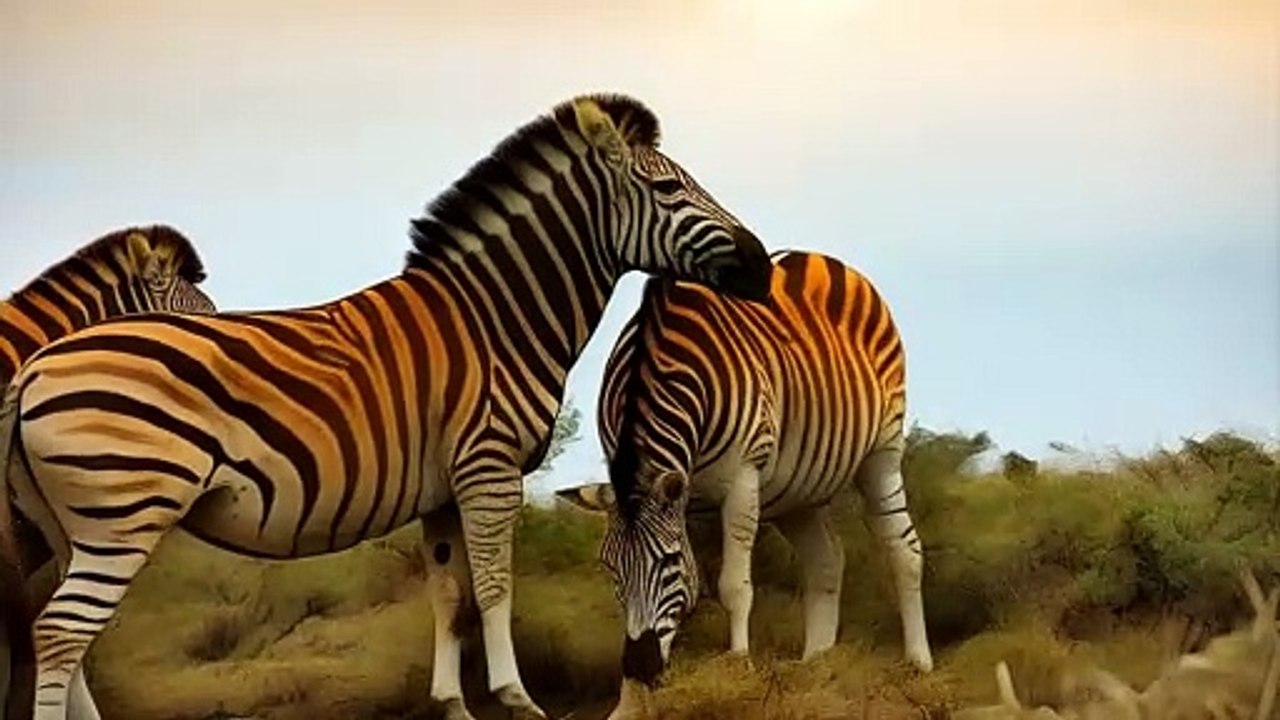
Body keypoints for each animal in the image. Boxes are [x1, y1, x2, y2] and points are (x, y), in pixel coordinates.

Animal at [558, 250, 932, 711]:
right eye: (609, 568)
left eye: (669, 561)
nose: (640, 666)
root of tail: (824, 259)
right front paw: (628, 704)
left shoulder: (741, 482)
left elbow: (732, 586)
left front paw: (737, 670)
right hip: (797, 489)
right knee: (826, 560)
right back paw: (816, 666)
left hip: (882, 452)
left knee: (904, 548)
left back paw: (918, 666)